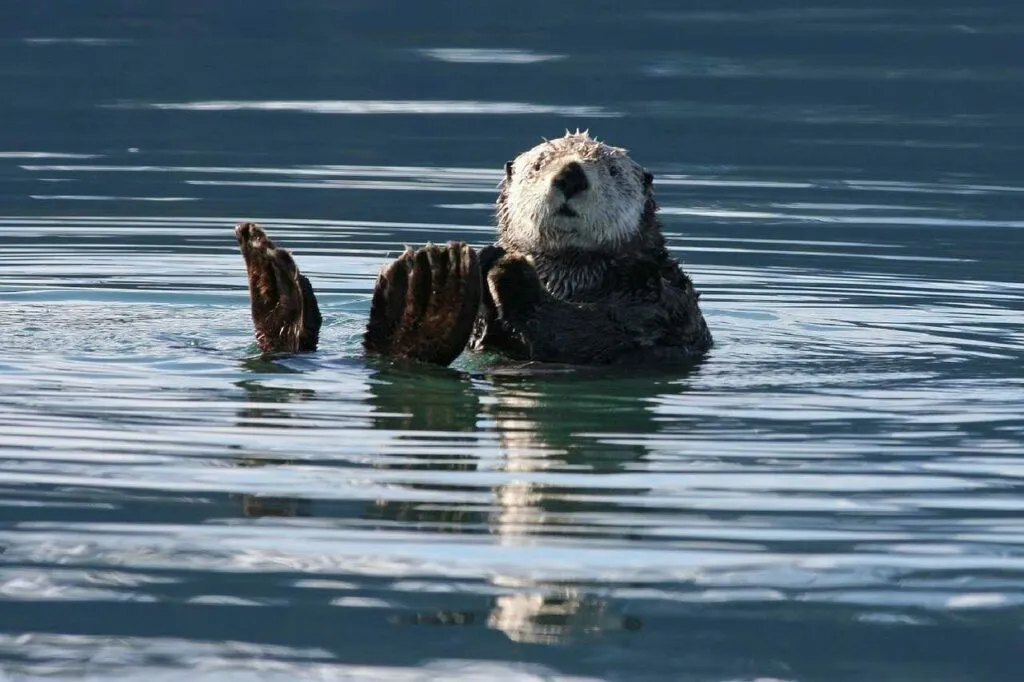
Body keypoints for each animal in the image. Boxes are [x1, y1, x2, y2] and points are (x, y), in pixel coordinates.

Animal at [234, 129, 712, 364]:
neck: (568, 276)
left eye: (611, 170)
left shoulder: (661, 301)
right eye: (539, 164)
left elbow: (599, 335)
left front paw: (511, 269)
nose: (571, 174)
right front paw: (494, 258)